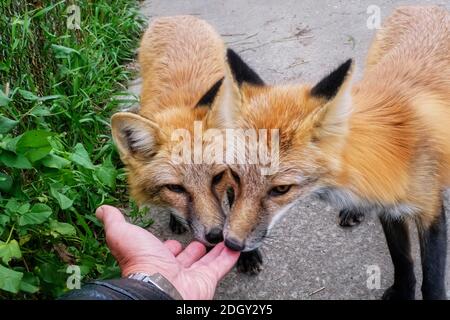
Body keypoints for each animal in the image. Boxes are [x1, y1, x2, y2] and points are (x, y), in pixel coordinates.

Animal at [222, 6, 450, 298]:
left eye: (281, 189)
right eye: (235, 176)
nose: (231, 244)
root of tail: (427, 5)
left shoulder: (430, 210)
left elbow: (432, 278)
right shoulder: (389, 208)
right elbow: (402, 258)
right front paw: (402, 290)